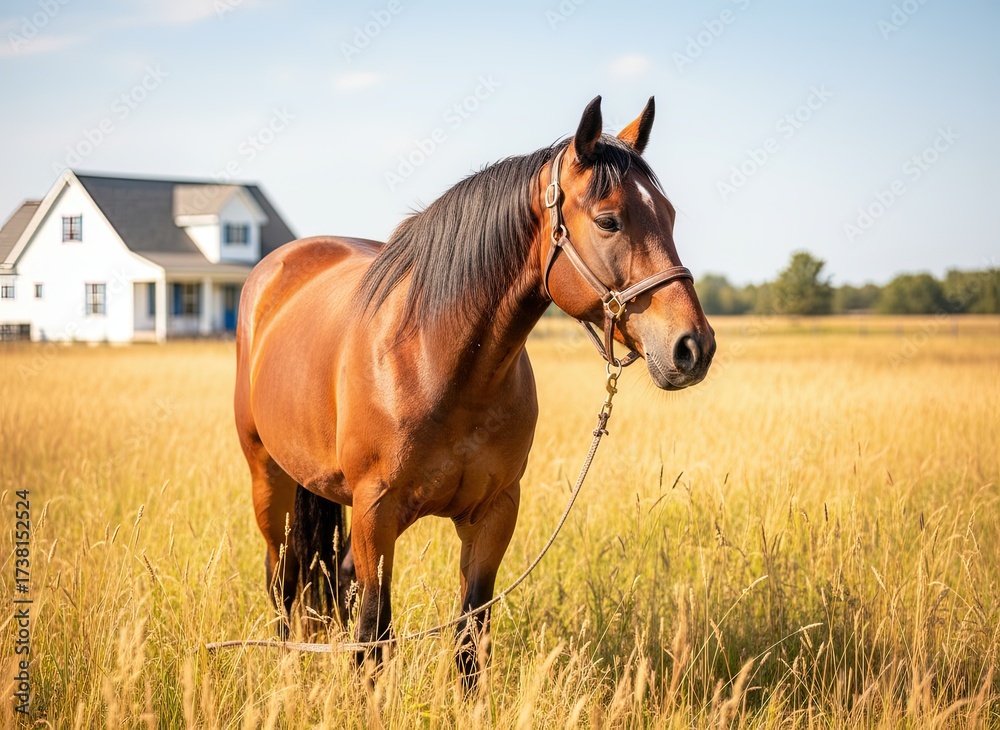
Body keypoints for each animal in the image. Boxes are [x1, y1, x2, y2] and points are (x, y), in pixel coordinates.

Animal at [234, 95, 716, 690]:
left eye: (668, 215)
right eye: (609, 220)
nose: (692, 347)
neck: (437, 362)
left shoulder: (494, 512)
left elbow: (469, 634)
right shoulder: (376, 511)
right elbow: (375, 630)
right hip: (268, 476)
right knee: (282, 577)